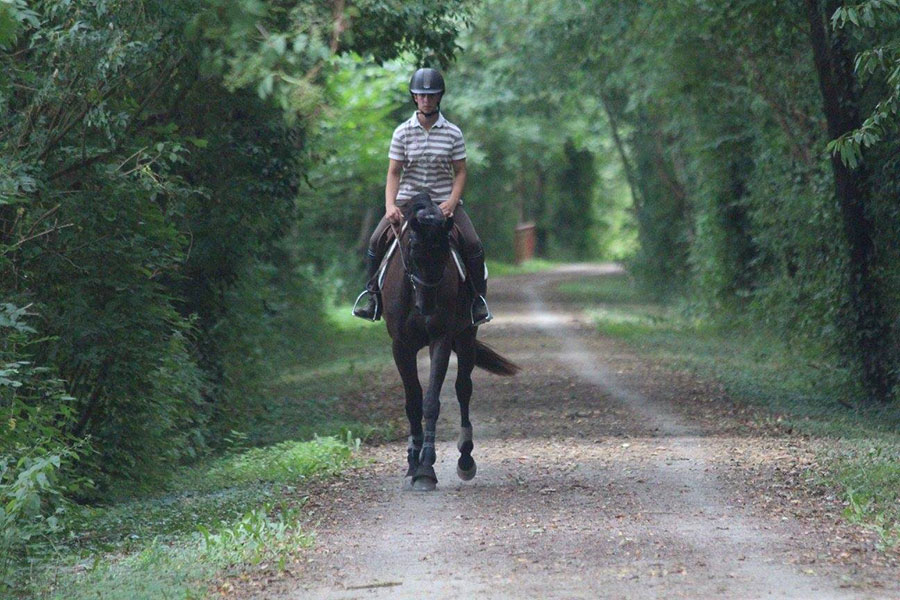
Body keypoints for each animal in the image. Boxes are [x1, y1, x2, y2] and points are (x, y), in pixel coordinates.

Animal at [380, 192, 520, 492]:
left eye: (445, 253)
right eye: (412, 249)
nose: (427, 307)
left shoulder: (441, 339)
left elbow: (432, 400)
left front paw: (425, 468)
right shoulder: (400, 346)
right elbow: (413, 401)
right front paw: (413, 462)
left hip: (466, 337)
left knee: (463, 389)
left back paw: (466, 459)